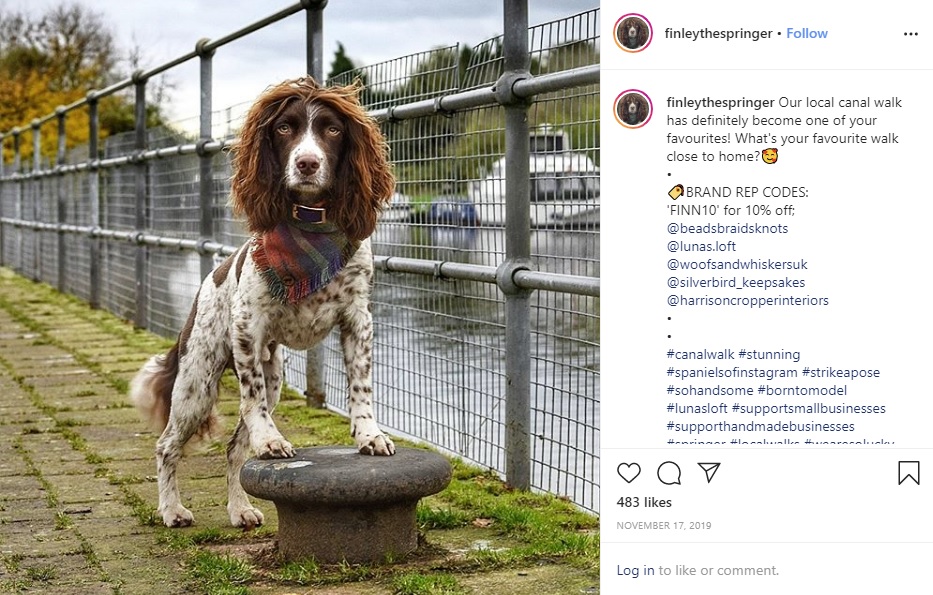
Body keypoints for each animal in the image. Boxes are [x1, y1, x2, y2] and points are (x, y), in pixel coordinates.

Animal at [130, 79, 394, 532]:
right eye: (285, 128)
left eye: (333, 129)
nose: (307, 163)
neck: (310, 226)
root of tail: (208, 280)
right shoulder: (247, 327)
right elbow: (251, 401)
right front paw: (271, 439)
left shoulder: (358, 319)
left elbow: (361, 386)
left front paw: (369, 435)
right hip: (196, 382)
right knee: (167, 445)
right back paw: (172, 509)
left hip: (274, 376)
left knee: (235, 448)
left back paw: (239, 509)